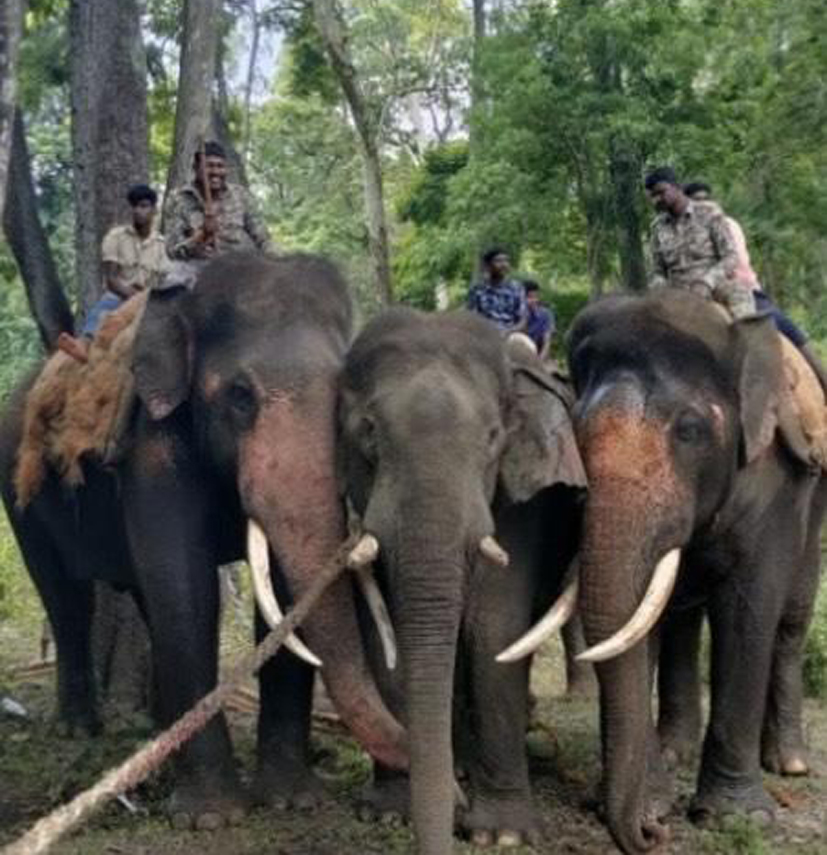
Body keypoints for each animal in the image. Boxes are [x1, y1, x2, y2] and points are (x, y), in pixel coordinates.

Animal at [0, 252, 406, 827]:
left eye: (342, 400)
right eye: (239, 397)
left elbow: (277, 595)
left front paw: (293, 801)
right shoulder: (151, 443)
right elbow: (186, 586)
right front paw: (213, 817)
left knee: (142, 597)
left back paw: (158, 731)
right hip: (19, 489)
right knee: (65, 598)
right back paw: (79, 728)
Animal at [338, 308, 586, 854]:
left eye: (493, 437)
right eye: (368, 431)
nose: (449, 818)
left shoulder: (522, 501)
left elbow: (493, 627)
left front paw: (503, 834)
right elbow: (382, 627)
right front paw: (391, 813)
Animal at [566, 289, 825, 853]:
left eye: (690, 431)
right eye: (574, 432)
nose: (650, 834)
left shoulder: (772, 477)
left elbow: (749, 610)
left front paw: (736, 819)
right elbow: (640, 625)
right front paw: (649, 800)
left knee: (792, 618)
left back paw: (790, 763)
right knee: (682, 620)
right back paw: (673, 751)